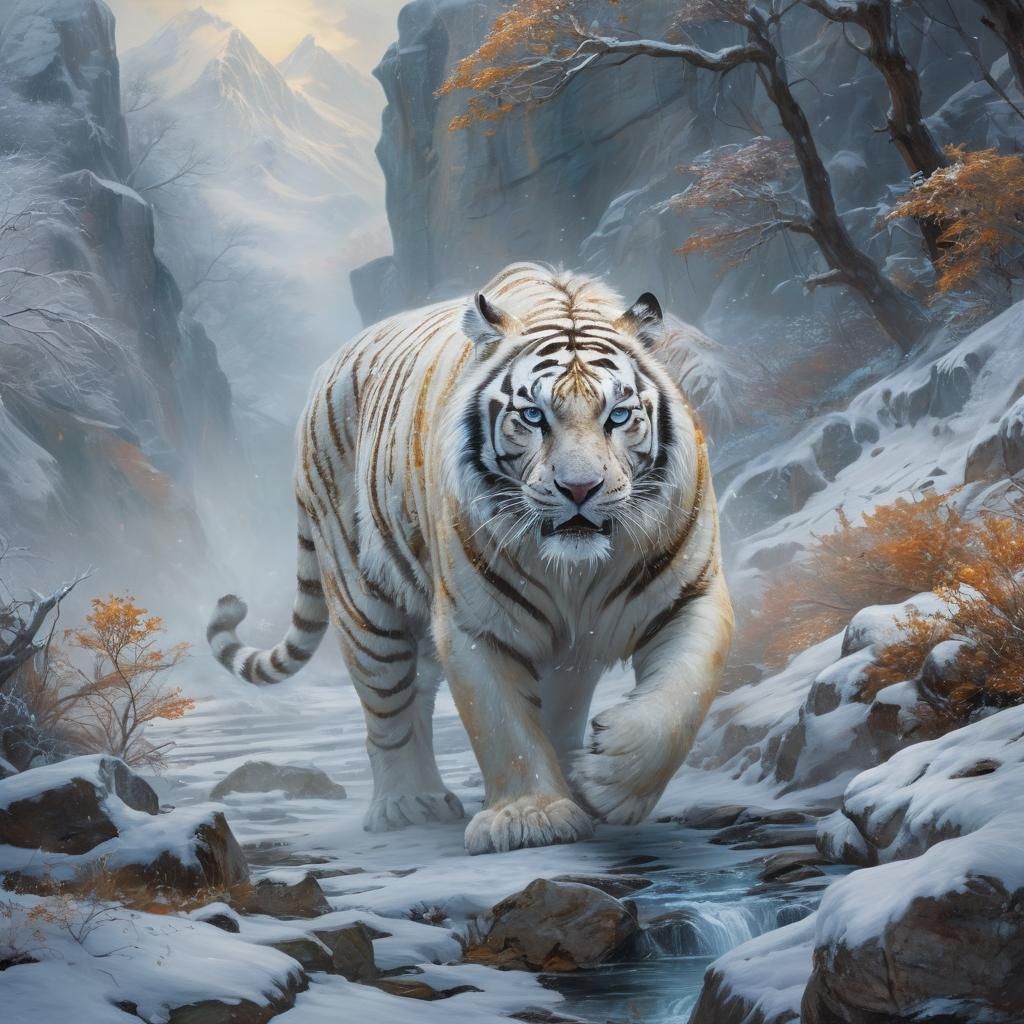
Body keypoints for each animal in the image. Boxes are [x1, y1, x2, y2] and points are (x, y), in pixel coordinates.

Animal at [207, 262, 733, 855]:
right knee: (389, 705)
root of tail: (326, 372)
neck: (576, 569)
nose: (580, 489)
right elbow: (503, 724)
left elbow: (682, 697)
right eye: (534, 416)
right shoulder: (475, 621)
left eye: (618, 416)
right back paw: (407, 805)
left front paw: (610, 780)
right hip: (362, 599)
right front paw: (531, 816)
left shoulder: (691, 595)